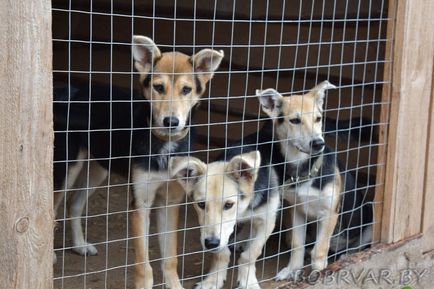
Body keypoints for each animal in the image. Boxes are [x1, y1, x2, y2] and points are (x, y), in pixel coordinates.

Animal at [52, 34, 224, 288]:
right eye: (158, 87)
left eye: (186, 89)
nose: (171, 122)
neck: (164, 144)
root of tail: (69, 89)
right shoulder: (141, 204)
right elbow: (144, 264)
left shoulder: (170, 202)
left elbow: (170, 258)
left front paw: (174, 284)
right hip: (67, 167)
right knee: (53, 207)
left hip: (99, 167)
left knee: (74, 203)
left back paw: (80, 245)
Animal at [168, 151, 280, 288]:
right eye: (201, 204)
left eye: (229, 205)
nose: (211, 244)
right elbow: (222, 255)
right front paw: (213, 280)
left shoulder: (267, 220)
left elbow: (251, 254)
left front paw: (248, 282)